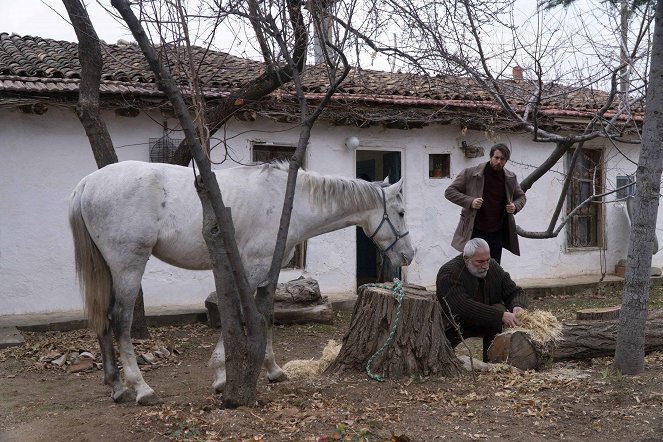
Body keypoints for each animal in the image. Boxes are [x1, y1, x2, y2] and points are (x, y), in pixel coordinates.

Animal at [71, 161, 416, 406]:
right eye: (400, 212)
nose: (408, 255)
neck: (287, 203)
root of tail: (87, 183)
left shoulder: (270, 273)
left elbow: (266, 317)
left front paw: (273, 370)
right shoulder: (252, 270)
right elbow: (239, 315)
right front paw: (221, 375)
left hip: (108, 269)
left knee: (104, 319)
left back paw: (117, 387)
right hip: (128, 266)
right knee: (120, 320)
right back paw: (141, 388)